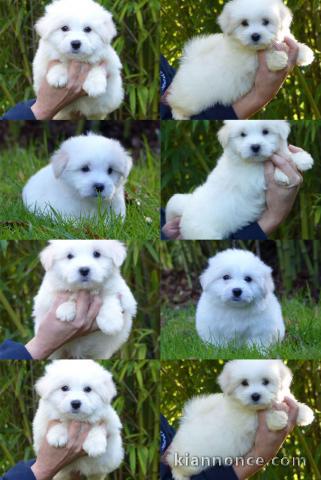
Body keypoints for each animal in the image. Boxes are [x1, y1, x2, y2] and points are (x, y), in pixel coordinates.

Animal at [165, 0, 312, 119]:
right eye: (244, 23)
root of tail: (188, 61)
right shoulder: (248, 61)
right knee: (176, 105)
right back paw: (179, 116)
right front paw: (278, 59)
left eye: (265, 21)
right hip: (190, 99)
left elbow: (290, 42)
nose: (255, 36)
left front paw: (305, 53)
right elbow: (263, 57)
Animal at [165, 360, 312, 480]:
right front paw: (278, 418)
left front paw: (305, 413)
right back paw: (181, 477)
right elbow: (260, 418)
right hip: (192, 462)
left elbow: (291, 401)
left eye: (266, 381)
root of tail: (187, 422)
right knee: (176, 468)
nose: (255, 396)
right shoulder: (248, 421)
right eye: (244, 383)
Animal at [166, 120, 314, 240]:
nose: (255, 147)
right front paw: (285, 171)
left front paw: (302, 158)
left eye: (265, 131)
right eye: (243, 135)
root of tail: (187, 206)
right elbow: (269, 166)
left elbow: (285, 154)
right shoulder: (252, 176)